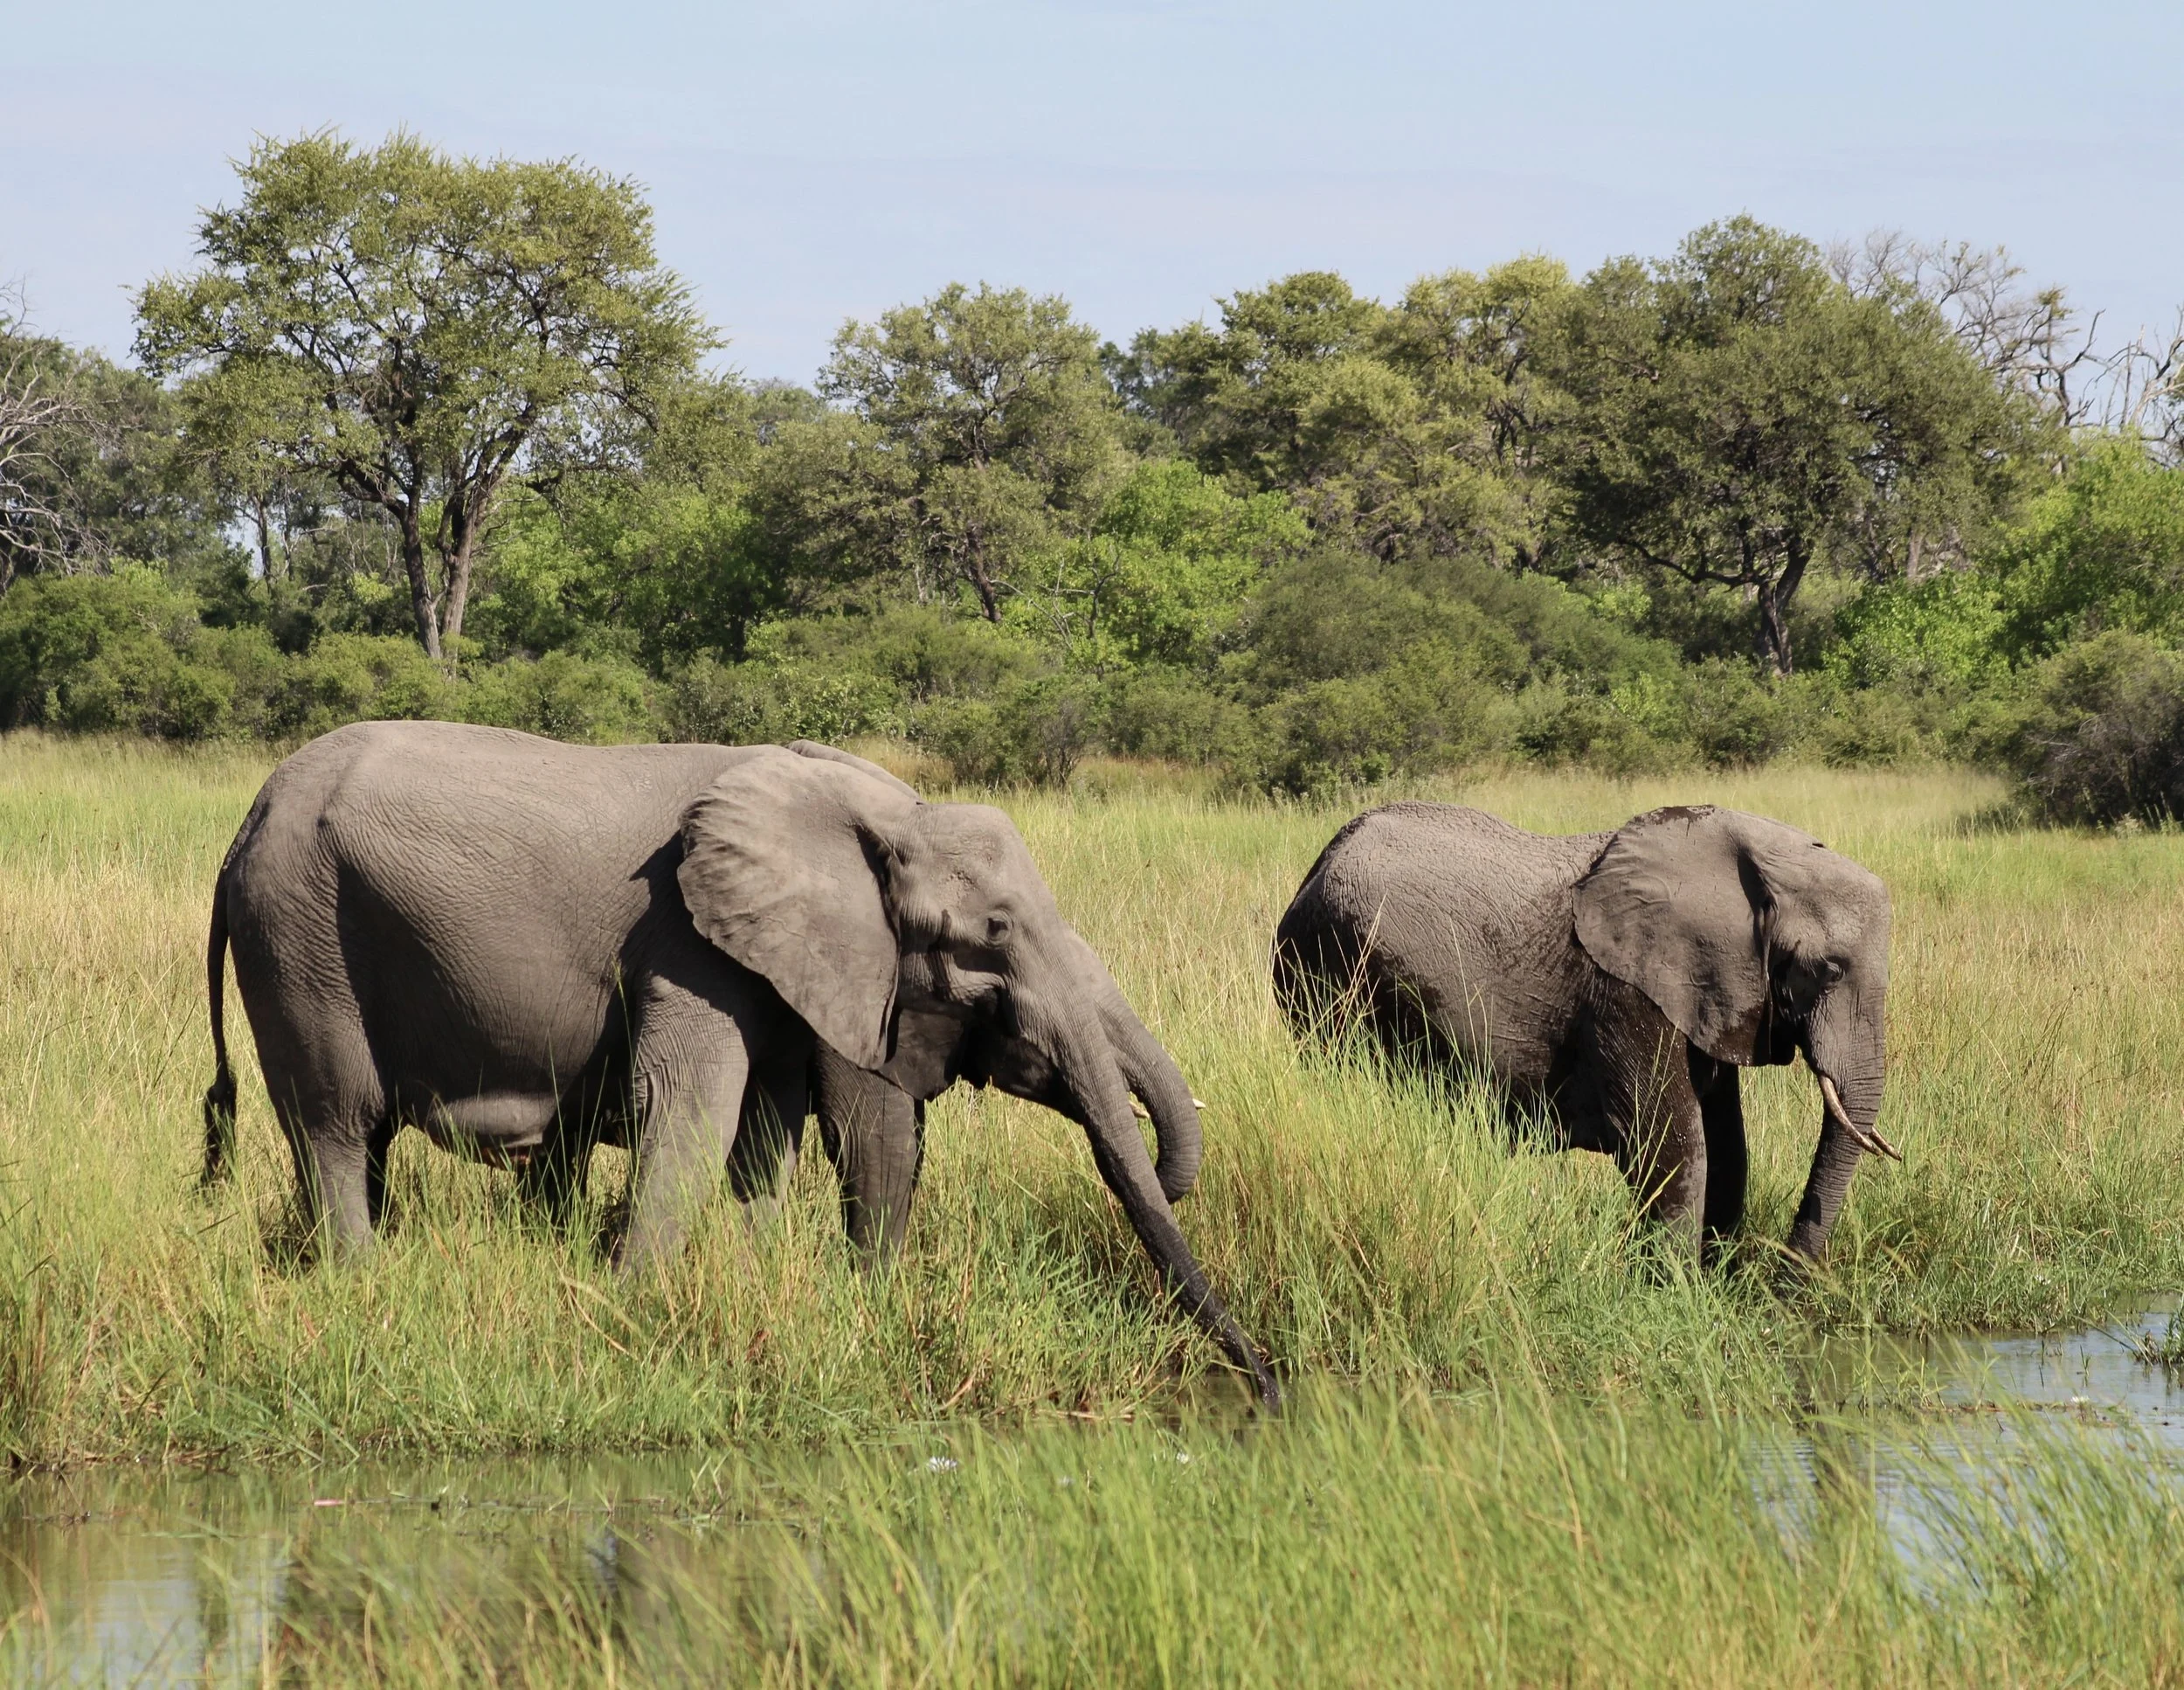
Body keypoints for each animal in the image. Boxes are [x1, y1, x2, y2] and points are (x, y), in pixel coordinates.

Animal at [199, 720, 1276, 1404]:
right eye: (995, 934)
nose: (1269, 1383)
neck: (869, 805)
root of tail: (244, 822)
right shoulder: (684, 935)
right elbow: (715, 1107)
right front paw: (636, 1308)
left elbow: (775, 1130)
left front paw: (765, 1283)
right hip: (300, 933)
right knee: (337, 1126)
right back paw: (360, 1286)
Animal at [1272, 803, 1895, 1266]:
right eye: (1829, 971)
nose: (1782, 1282)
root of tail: (1319, 863)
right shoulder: (1623, 994)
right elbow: (1674, 1148)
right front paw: (1675, 1297)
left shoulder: (1703, 992)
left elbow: (1727, 1146)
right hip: (1329, 975)